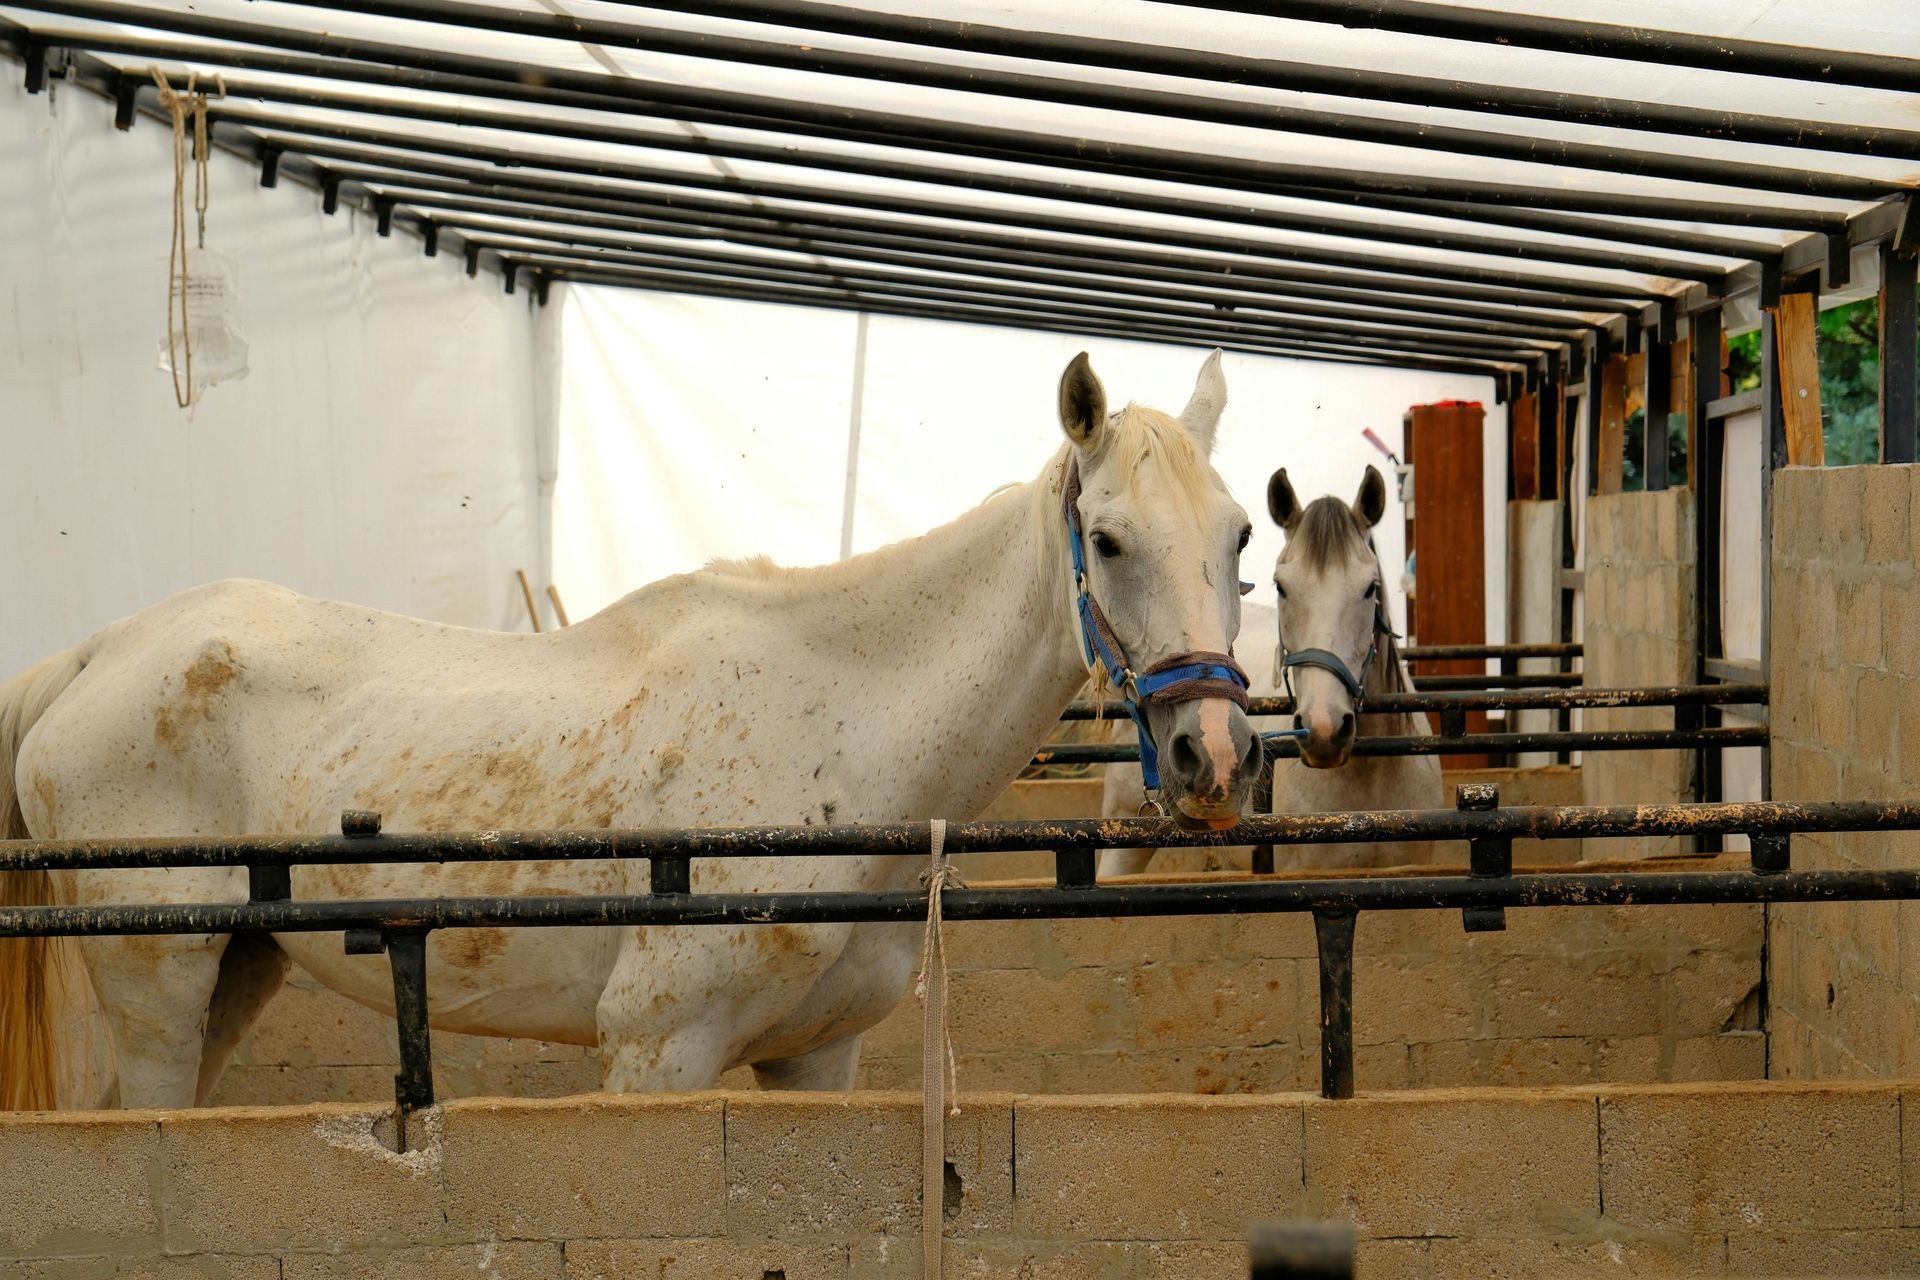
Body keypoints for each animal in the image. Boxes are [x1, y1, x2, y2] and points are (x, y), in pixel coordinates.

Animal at [0, 350, 1261, 1111]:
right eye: (1108, 539)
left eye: (1242, 535)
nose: (1211, 755)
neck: (838, 731)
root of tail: (96, 652)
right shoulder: (658, 1055)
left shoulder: (818, 1058)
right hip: (158, 990)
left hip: (236, 969)